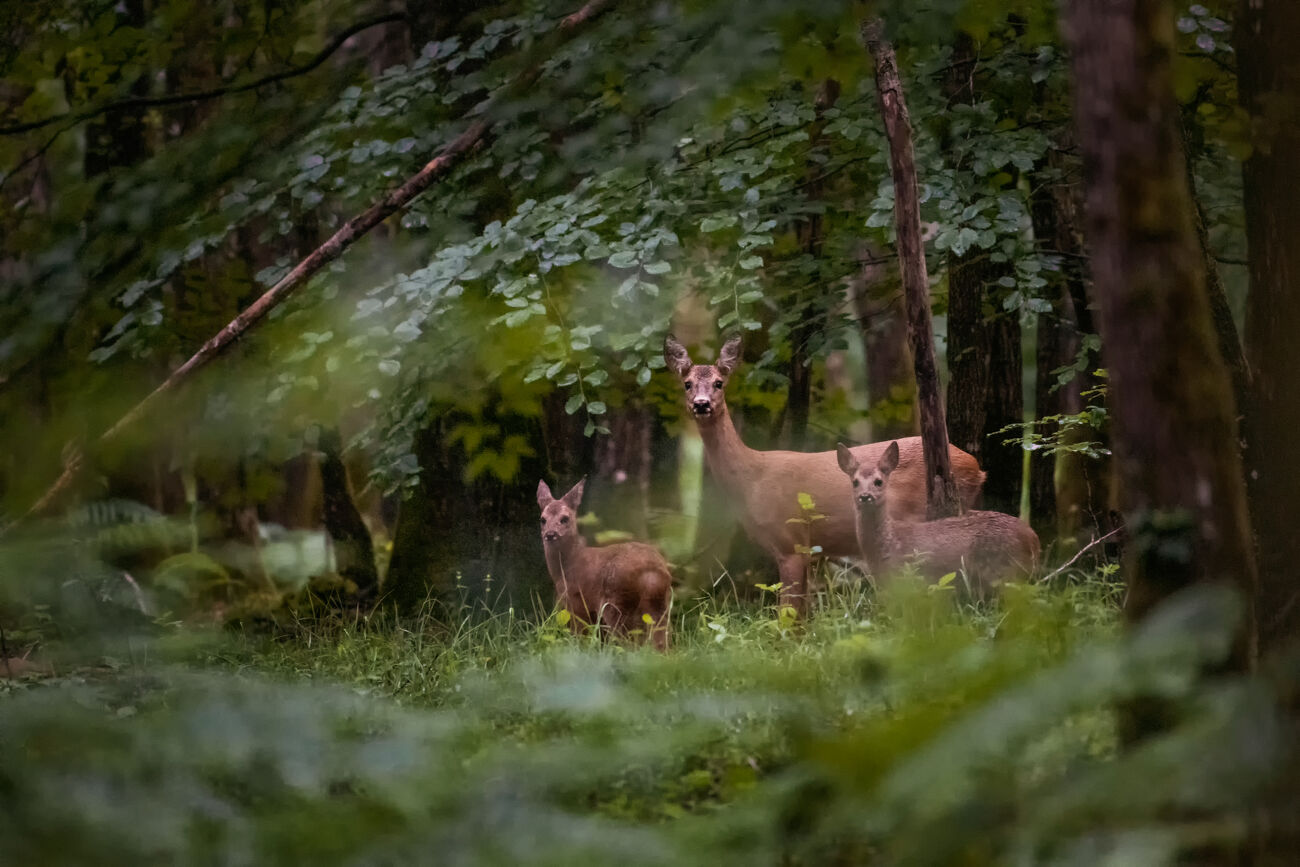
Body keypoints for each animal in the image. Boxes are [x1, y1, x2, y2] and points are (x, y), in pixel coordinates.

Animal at [535, 478, 670, 647]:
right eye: (542, 519)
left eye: (565, 518)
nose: (550, 534)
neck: (565, 569)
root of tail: (651, 570)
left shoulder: (576, 602)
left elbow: (580, 637)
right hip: (660, 605)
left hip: (616, 603)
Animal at [670, 335, 982, 616]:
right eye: (687, 384)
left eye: (718, 383)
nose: (701, 404)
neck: (752, 478)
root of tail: (977, 467)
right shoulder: (809, 550)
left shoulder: (791, 539)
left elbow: (787, 615)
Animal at [837, 441, 1040, 597]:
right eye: (855, 482)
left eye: (878, 481)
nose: (865, 496)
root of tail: (1033, 539)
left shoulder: (906, 578)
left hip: (1005, 572)